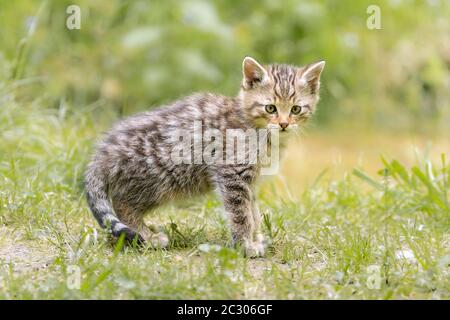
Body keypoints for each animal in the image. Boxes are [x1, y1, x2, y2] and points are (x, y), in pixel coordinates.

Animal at [84, 57, 324, 258]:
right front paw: (245, 245)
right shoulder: (231, 172)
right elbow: (241, 214)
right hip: (158, 180)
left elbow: (253, 212)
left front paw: (255, 238)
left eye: (296, 109)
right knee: (123, 203)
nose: (284, 124)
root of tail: (104, 150)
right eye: (271, 108)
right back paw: (147, 236)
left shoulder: (251, 181)